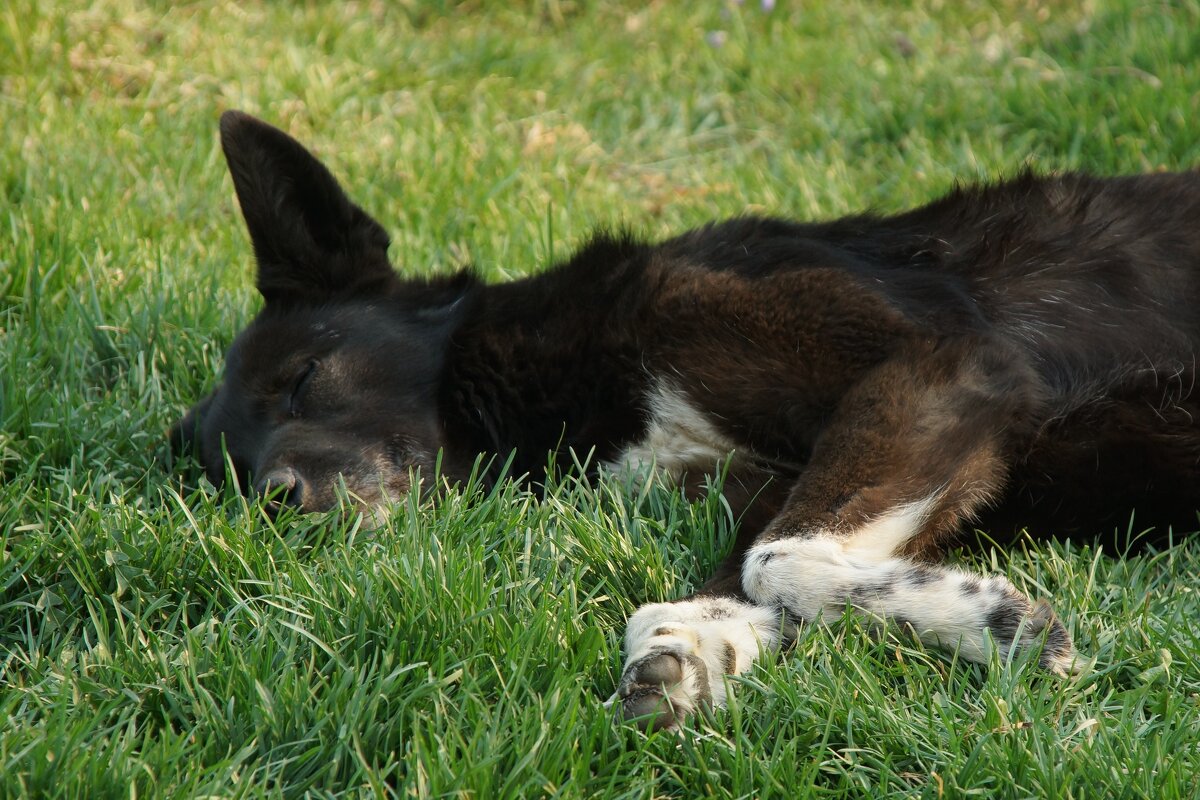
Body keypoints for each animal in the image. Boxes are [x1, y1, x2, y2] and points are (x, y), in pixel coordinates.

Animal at [175, 110, 1200, 734]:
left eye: (305, 379)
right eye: (233, 474)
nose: (274, 499)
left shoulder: (947, 363)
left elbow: (777, 557)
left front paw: (997, 622)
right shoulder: (785, 471)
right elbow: (747, 570)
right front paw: (693, 645)